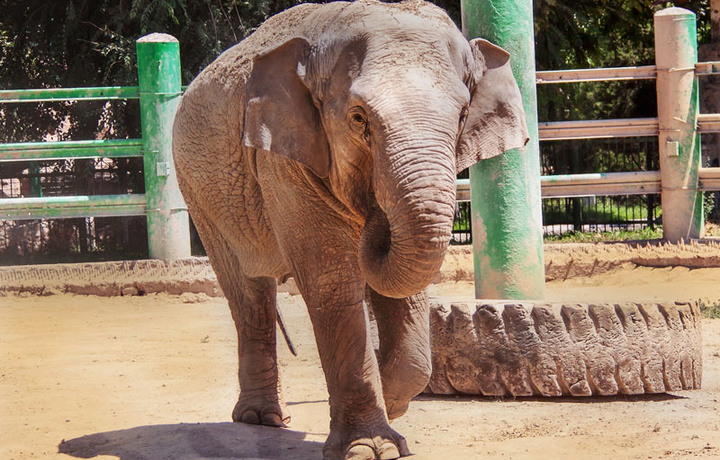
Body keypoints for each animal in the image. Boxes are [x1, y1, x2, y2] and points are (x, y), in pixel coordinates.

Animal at [172, 0, 524, 460]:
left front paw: (392, 404)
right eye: (359, 119)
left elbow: (405, 297)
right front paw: (371, 447)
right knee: (249, 293)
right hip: (199, 194)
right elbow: (332, 282)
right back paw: (260, 419)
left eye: (463, 115)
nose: (373, 216)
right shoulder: (283, 160)